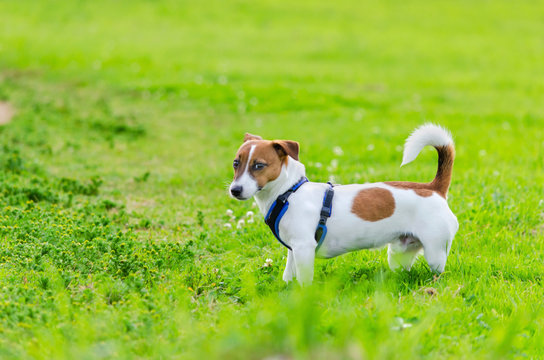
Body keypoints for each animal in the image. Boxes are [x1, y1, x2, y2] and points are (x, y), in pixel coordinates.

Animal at [227, 125, 456, 286]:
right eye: (236, 163)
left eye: (259, 165)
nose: (235, 190)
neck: (288, 192)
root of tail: (433, 188)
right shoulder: (294, 250)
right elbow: (288, 274)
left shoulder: (304, 248)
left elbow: (304, 280)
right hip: (399, 253)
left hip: (435, 252)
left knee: (438, 271)